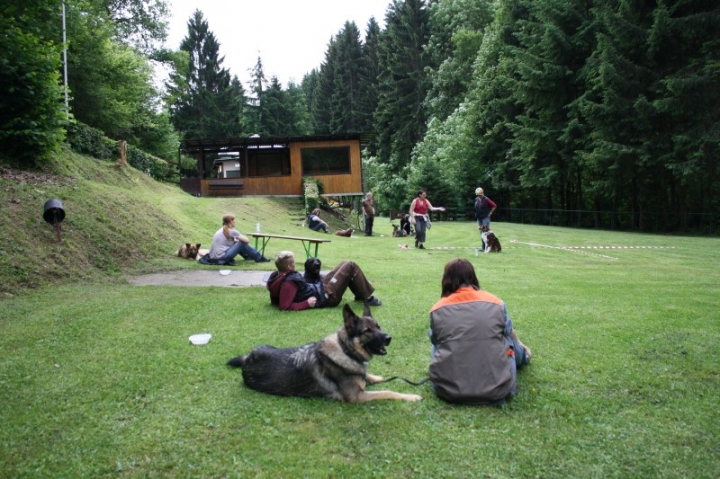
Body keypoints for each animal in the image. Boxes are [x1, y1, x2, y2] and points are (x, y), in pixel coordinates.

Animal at [228, 306, 424, 404]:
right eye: (367, 331)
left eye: (378, 326)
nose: (389, 338)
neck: (346, 351)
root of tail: (249, 358)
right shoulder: (357, 397)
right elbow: (387, 391)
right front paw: (411, 397)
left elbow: (369, 376)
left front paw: (374, 376)